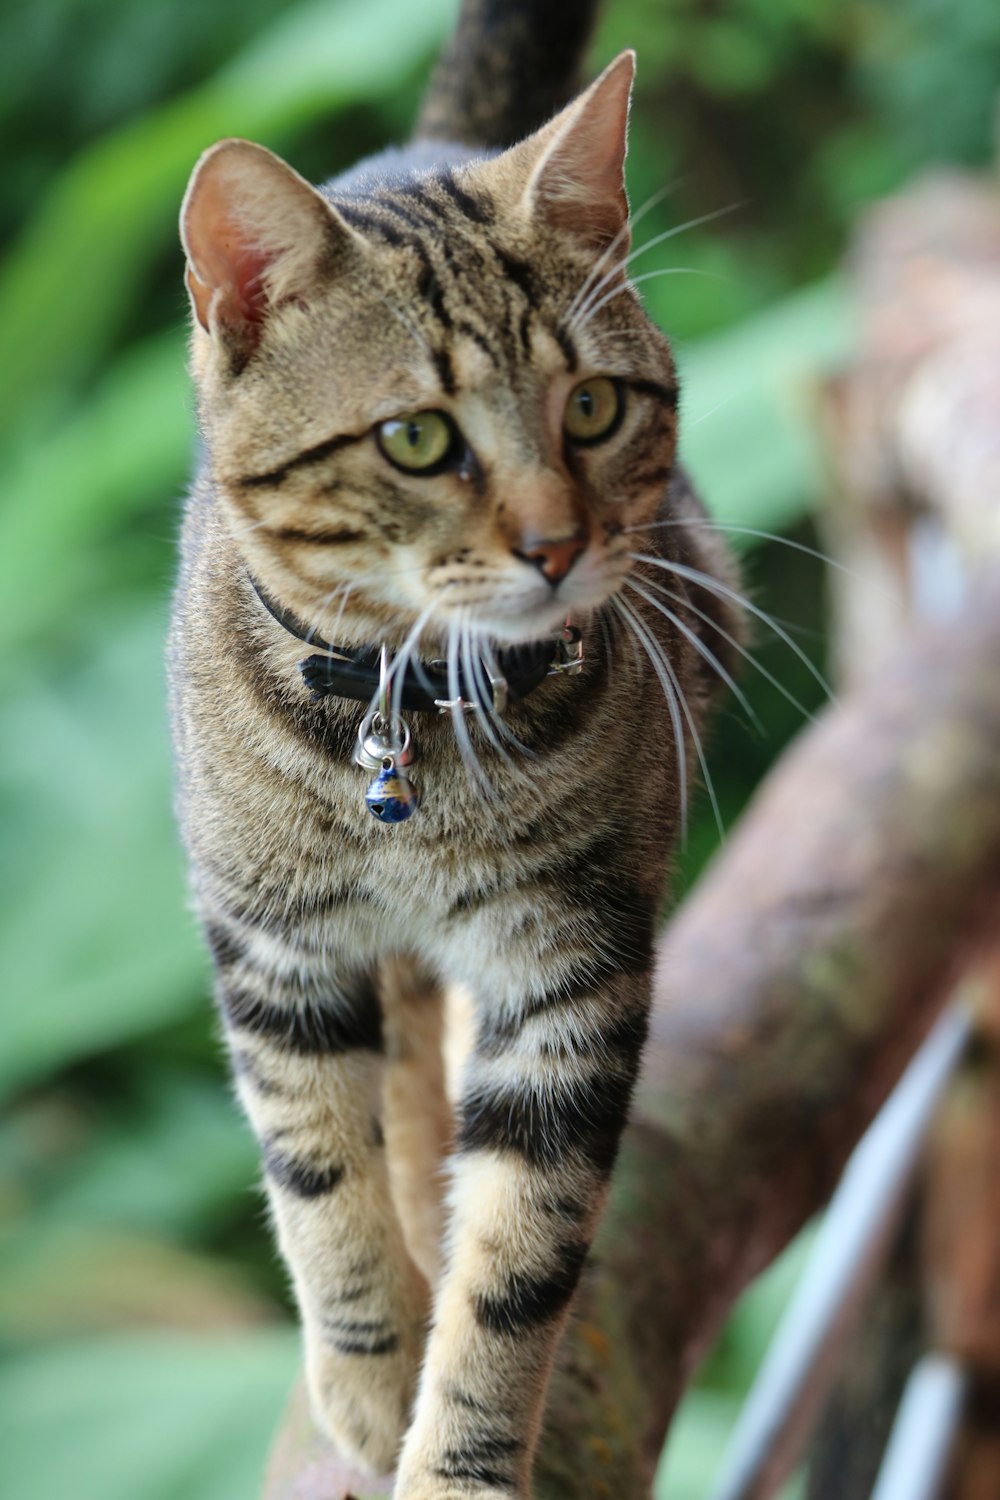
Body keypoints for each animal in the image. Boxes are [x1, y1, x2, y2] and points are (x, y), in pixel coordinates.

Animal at [170, 0, 734, 1488]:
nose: (556, 545)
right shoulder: (273, 945)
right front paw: (371, 1372)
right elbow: (317, 1173)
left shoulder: (572, 972)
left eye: (592, 408)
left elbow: (520, 1262)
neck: (404, 718)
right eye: (418, 438)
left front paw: (458, 1456)